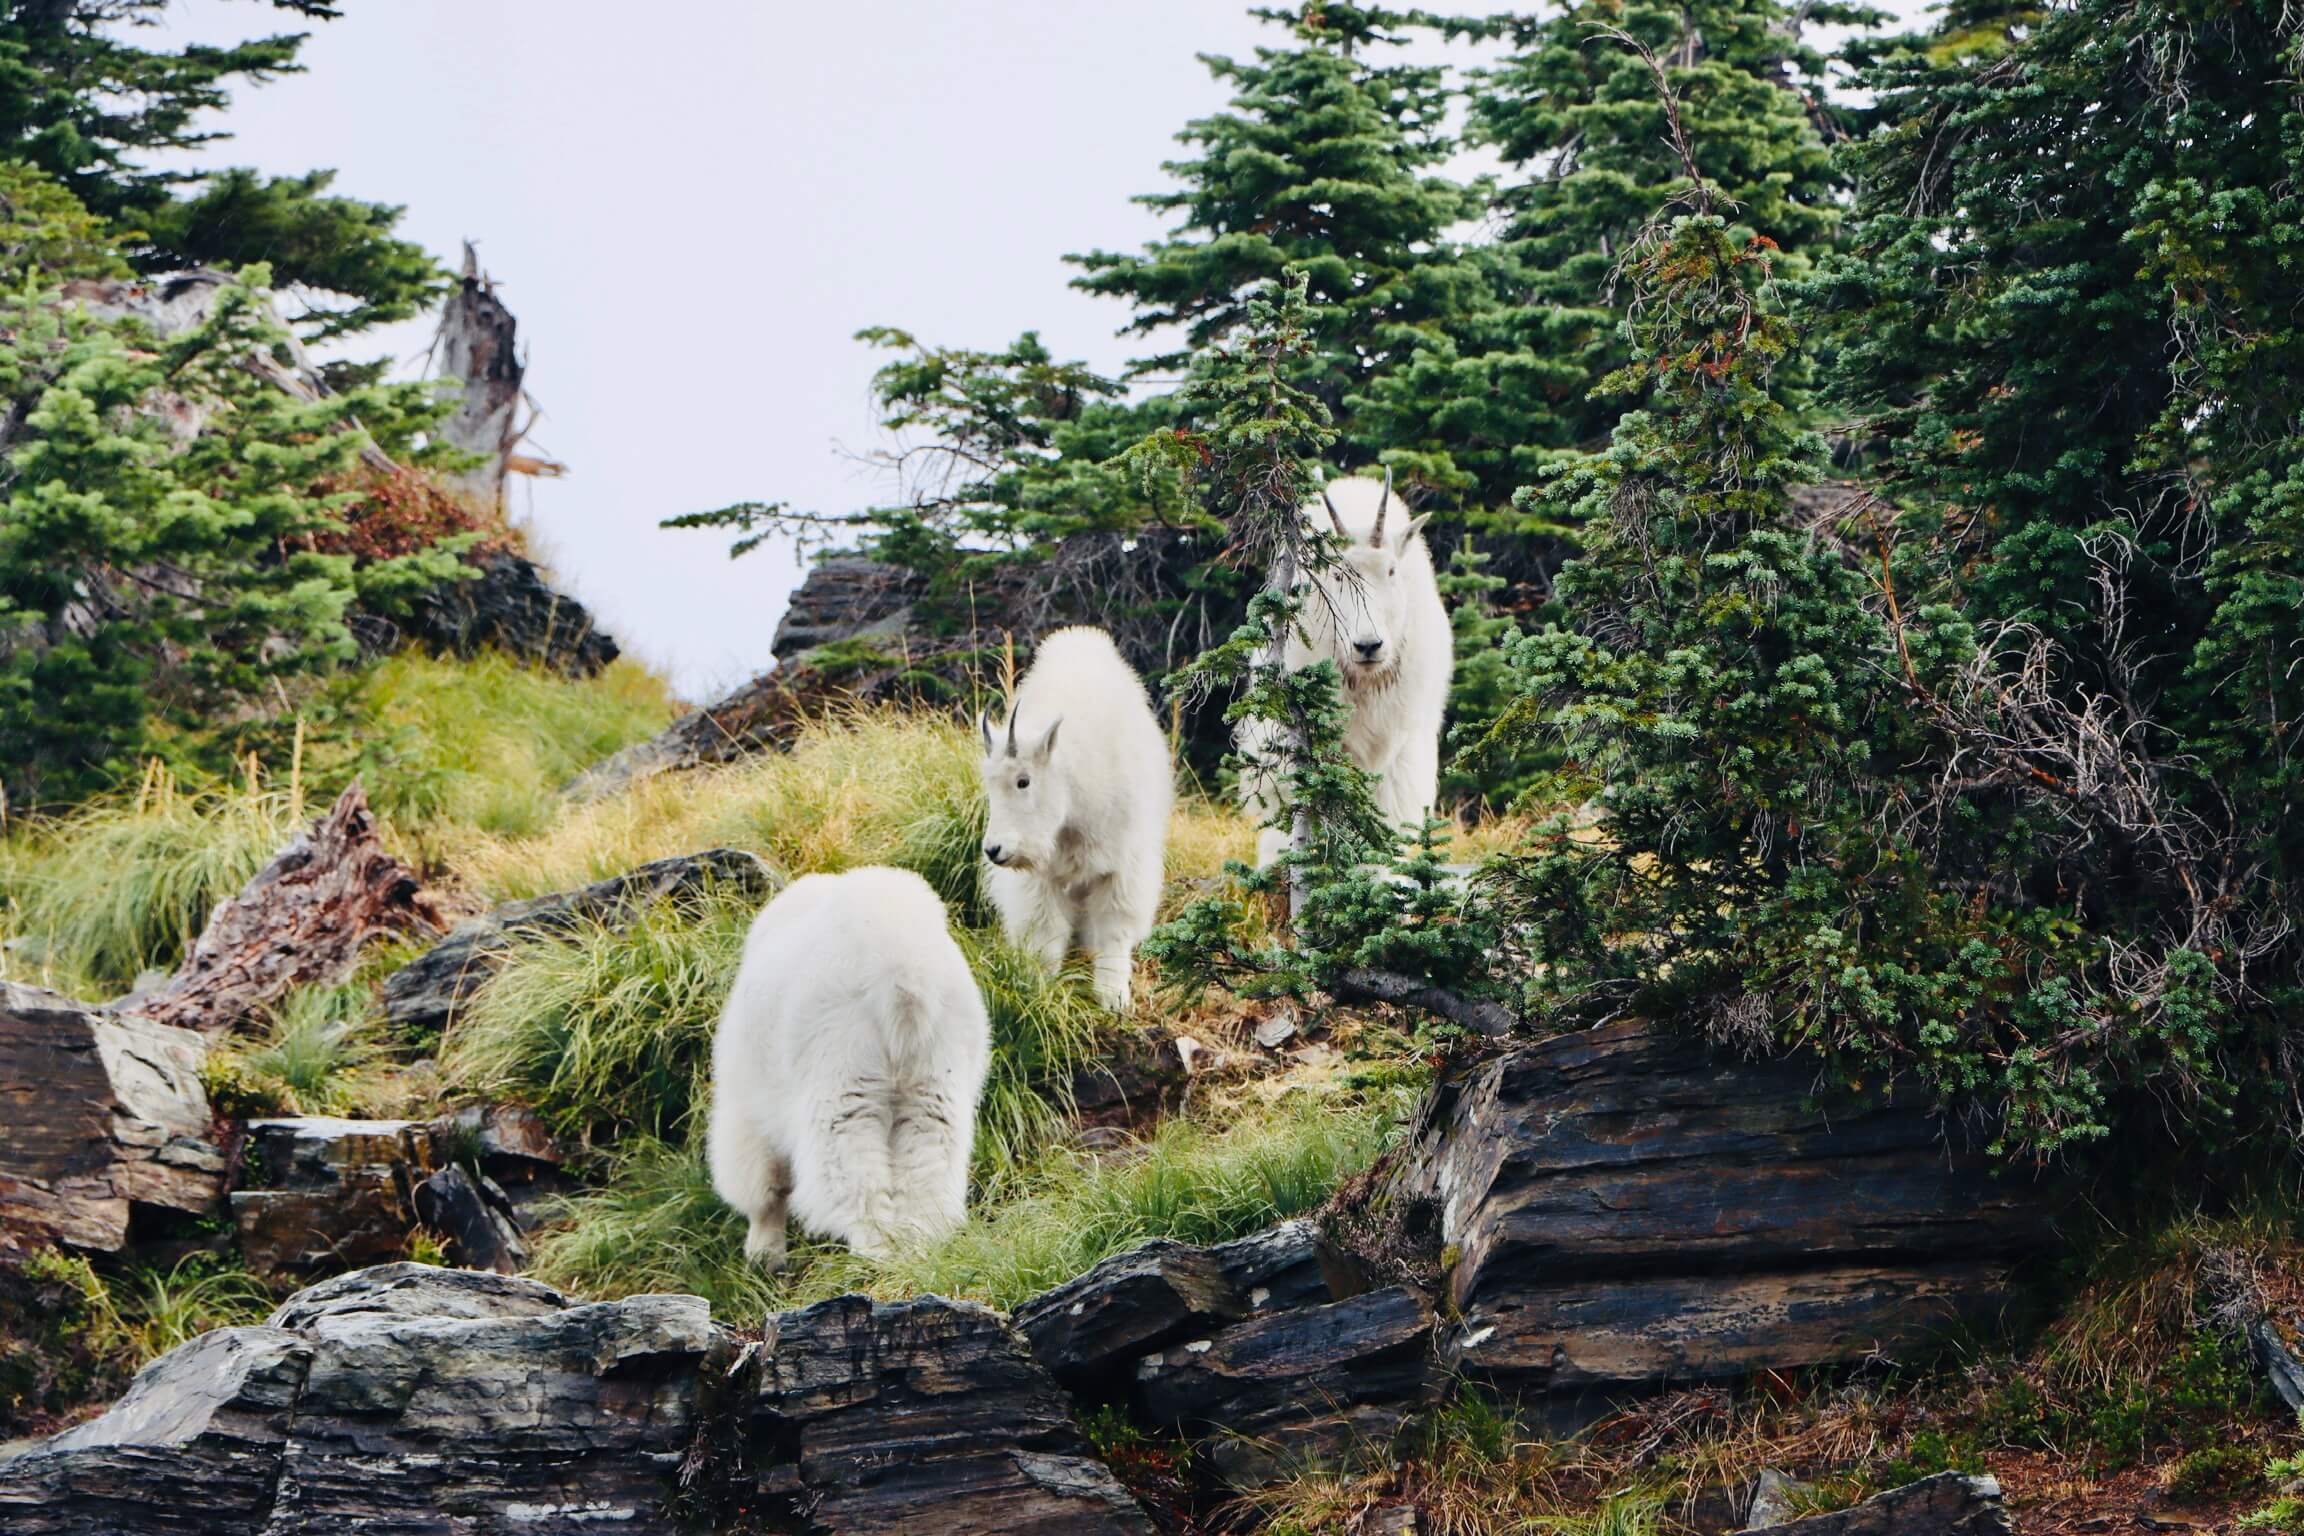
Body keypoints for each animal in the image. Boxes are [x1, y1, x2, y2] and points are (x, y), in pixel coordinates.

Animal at [705, 865, 986, 1271]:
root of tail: (903, 969)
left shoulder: (747, 1094)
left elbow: (760, 1172)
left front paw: (764, 1252)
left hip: (841, 1055)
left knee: (849, 1161)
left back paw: (874, 1250)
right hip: (940, 1056)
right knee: (930, 1149)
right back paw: (918, 1247)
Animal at [981, 626, 1179, 1008]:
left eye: (1023, 780)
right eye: (989, 783)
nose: (994, 850)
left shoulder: (1123, 867)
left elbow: (1114, 929)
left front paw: (1113, 998)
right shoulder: (1042, 877)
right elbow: (1045, 935)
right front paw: (1039, 990)